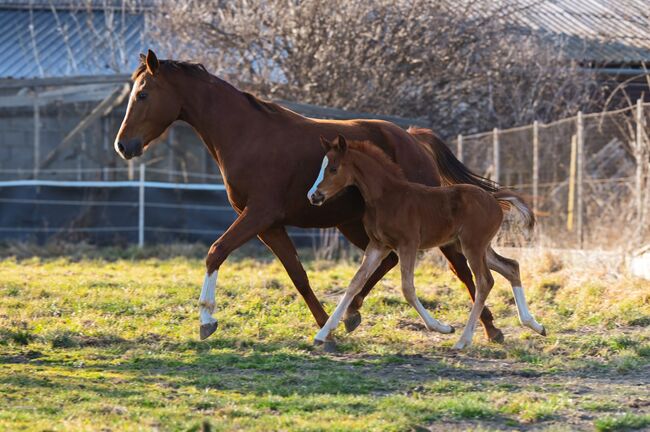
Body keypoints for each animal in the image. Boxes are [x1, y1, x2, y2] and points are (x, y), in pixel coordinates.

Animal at [114, 50, 502, 342]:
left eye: (142, 95)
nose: (123, 145)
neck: (245, 135)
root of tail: (412, 137)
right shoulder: (269, 226)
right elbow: (298, 275)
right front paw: (324, 328)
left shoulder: (258, 214)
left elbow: (216, 252)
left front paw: (206, 321)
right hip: (355, 224)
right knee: (390, 262)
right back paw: (353, 313)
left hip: (431, 226)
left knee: (463, 268)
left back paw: (489, 329)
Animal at [308, 137, 540, 350]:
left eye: (333, 168)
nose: (313, 196)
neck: (386, 197)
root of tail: (494, 199)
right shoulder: (378, 245)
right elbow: (354, 283)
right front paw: (321, 334)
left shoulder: (408, 244)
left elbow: (407, 289)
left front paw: (441, 327)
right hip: (475, 246)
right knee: (511, 266)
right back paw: (534, 324)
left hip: (473, 246)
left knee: (485, 281)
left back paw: (463, 340)